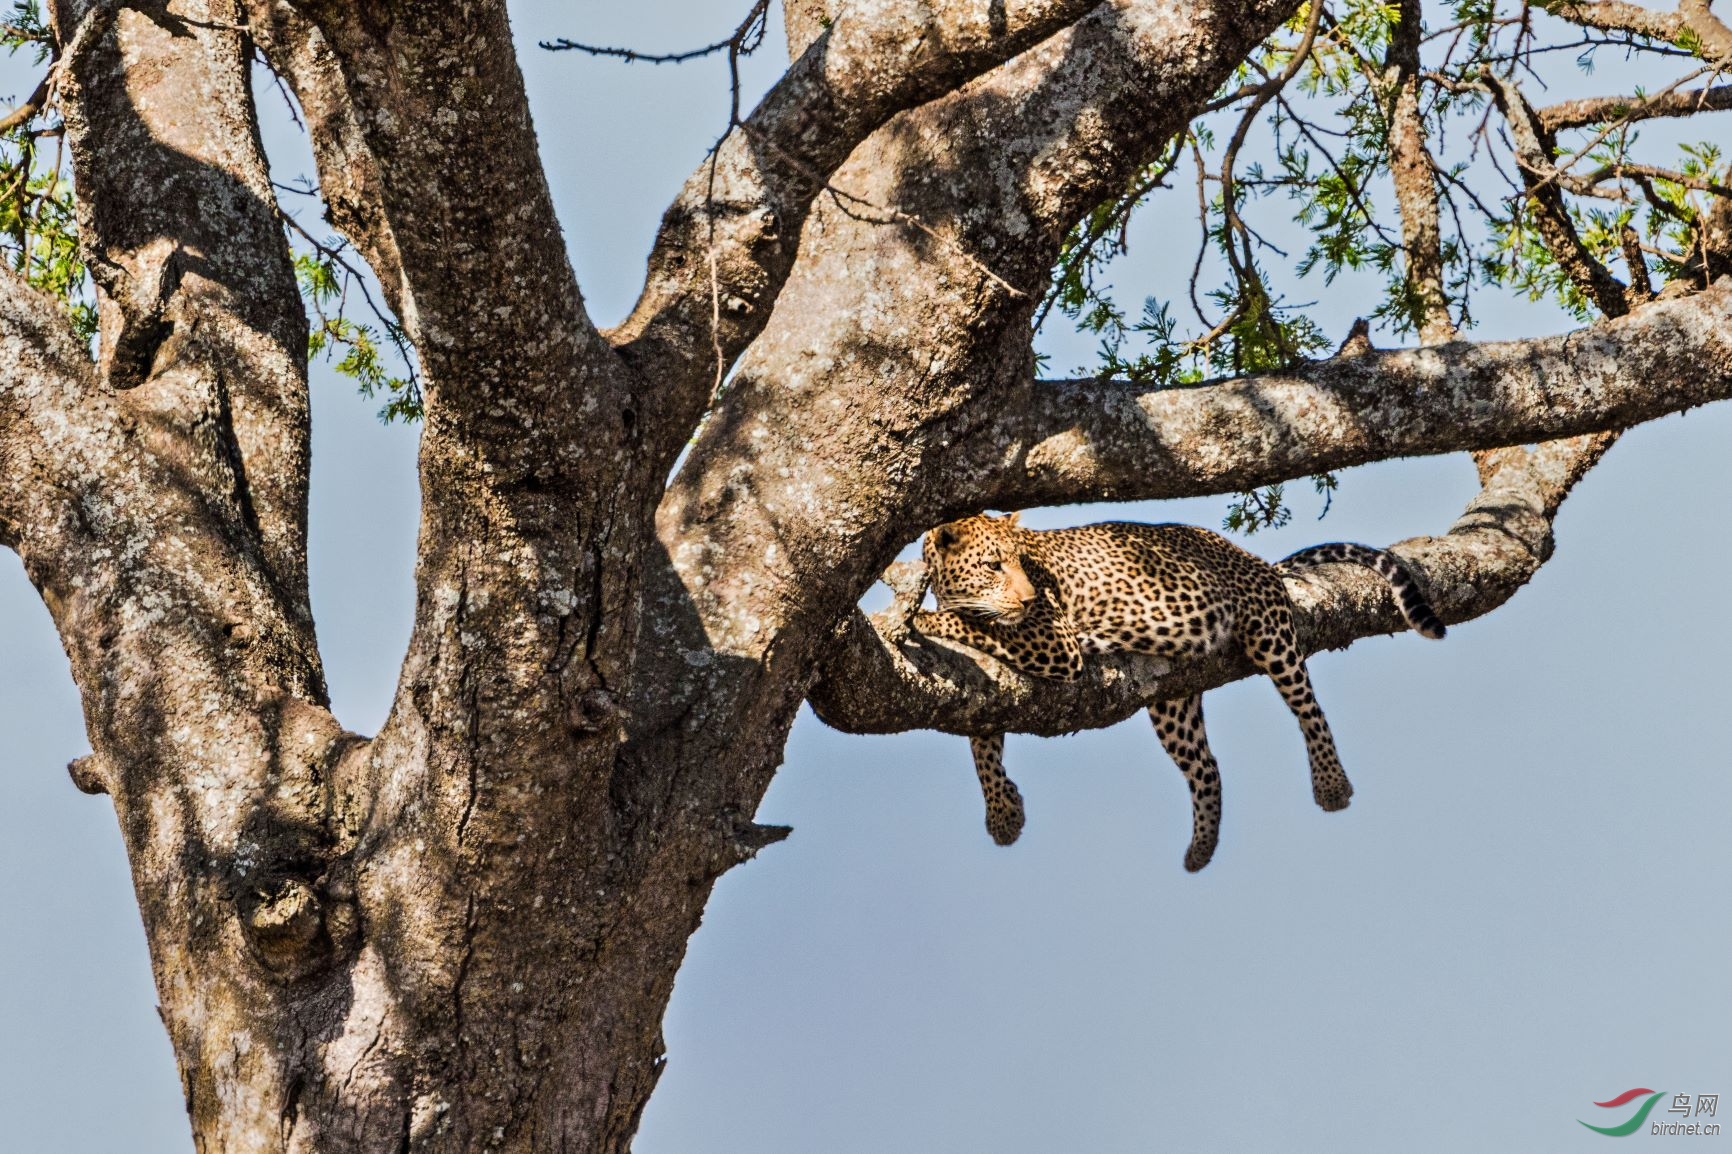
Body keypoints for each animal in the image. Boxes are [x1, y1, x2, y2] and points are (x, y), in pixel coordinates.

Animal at [914, 512, 1441, 873]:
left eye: (1020, 565)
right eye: (992, 565)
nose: (1026, 599)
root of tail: (1252, 557)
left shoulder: (1054, 642)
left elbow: (969, 623)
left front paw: (919, 618)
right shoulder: (992, 690)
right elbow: (981, 744)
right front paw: (1003, 812)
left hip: (1269, 634)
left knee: (1309, 707)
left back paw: (1332, 784)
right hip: (1172, 700)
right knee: (1207, 767)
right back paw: (1200, 851)